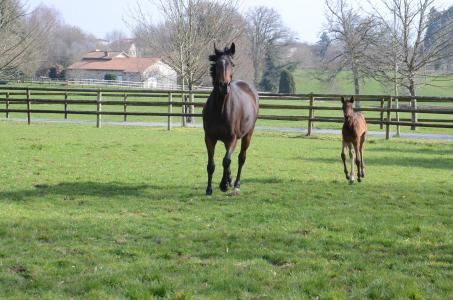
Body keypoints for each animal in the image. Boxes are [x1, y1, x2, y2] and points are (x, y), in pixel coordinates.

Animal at [201, 42, 258, 197]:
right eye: (217, 64)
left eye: (232, 64)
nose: (224, 85)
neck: (220, 109)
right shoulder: (209, 138)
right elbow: (211, 165)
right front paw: (209, 189)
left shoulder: (232, 138)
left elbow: (226, 161)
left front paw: (224, 185)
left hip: (247, 135)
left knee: (240, 158)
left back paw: (236, 183)